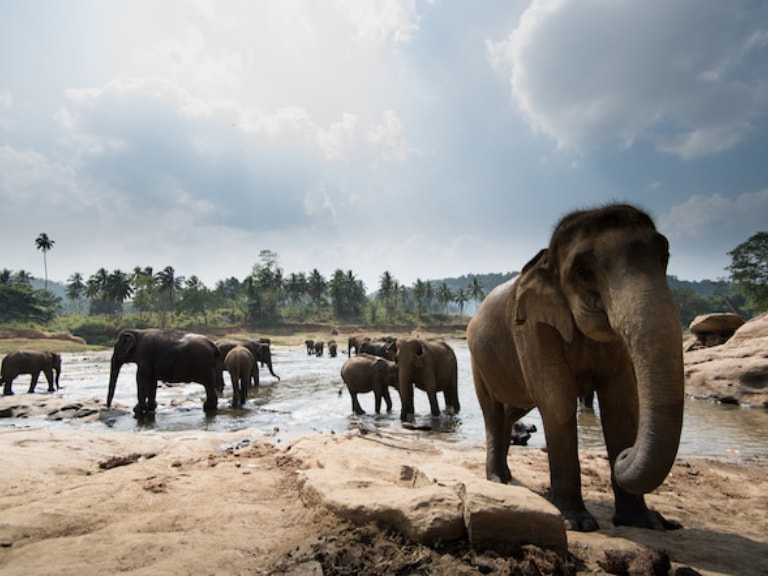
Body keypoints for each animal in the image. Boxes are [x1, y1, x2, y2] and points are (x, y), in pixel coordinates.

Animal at [462, 205, 684, 532]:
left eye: (664, 256)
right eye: (583, 271)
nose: (625, 455)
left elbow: (620, 403)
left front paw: (641, 522)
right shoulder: (531, 327)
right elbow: (558, 400)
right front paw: (577, 522)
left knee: (514, 409)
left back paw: (507, 473)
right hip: (478, 360)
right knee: (493, 411)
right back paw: (497, 478)